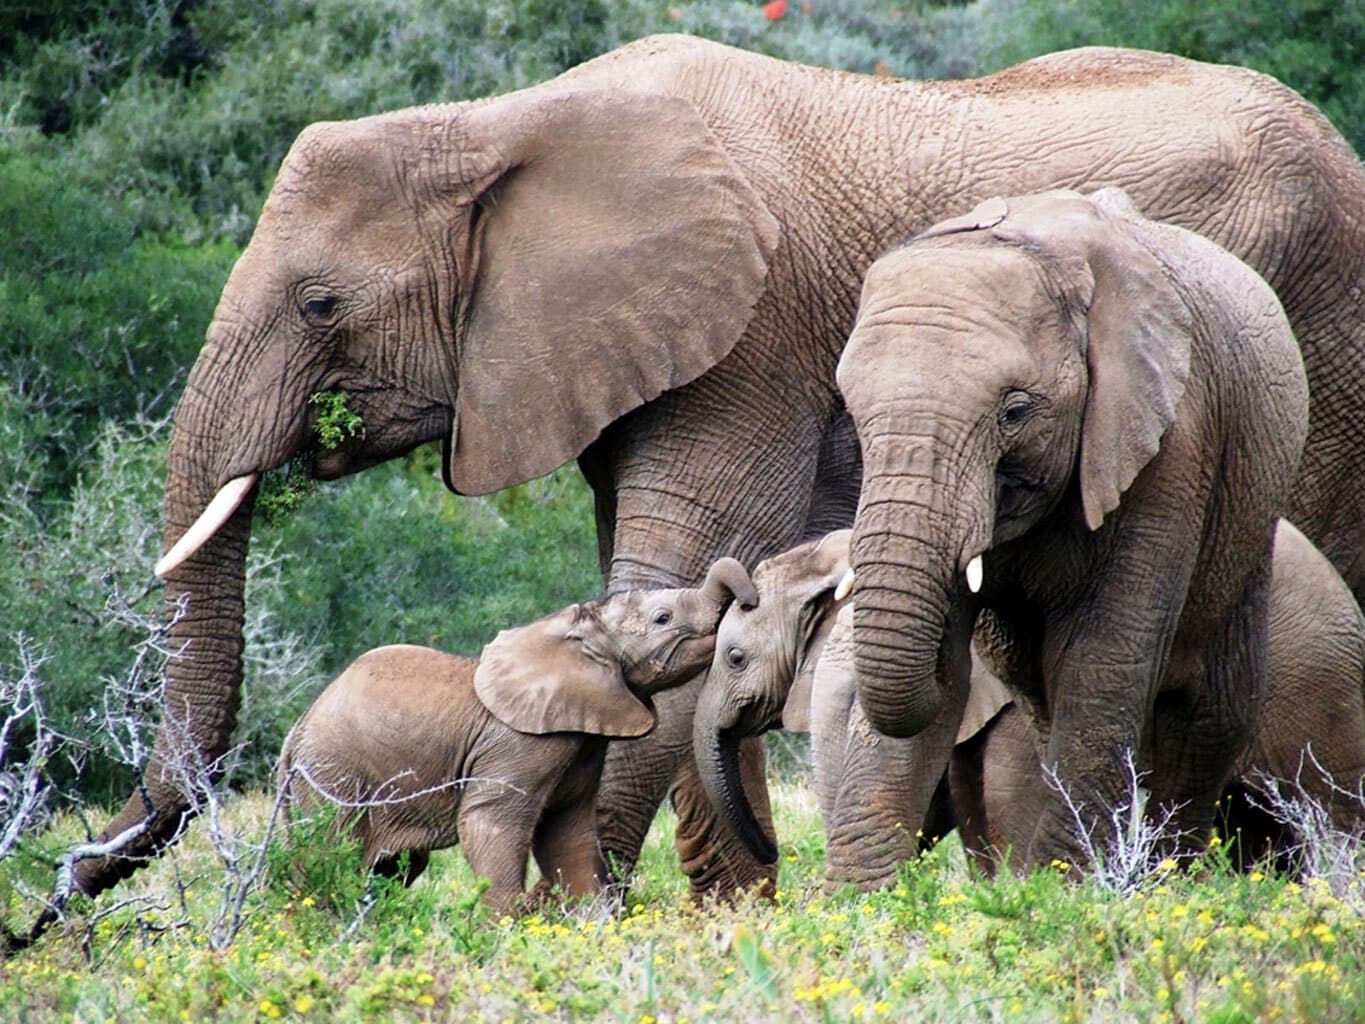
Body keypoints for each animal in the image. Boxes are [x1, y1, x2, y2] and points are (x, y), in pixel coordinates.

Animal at [274, 557, 758, 917]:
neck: (575, 637)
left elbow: (568, 834)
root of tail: (294, 733)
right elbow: (490, 825)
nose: (751, 599)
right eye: (663, 618)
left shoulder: (582, 743)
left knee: (390, 868)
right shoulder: (518, 744)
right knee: (331, 853)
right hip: (334, 774)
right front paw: (502, 930)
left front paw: (596, 928)